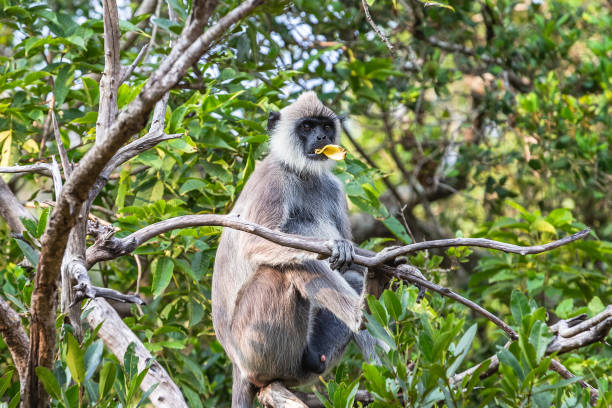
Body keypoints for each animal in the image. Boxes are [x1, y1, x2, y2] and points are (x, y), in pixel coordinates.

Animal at [213, 91, 380, 406]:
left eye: (325, 127)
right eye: (307, 126)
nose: (320, 137)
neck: (301, 173)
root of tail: (237, 366)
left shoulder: (333, 188)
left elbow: (354, 254)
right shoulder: (273, 180)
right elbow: (256, 244)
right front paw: (334, 247)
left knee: (350, 277)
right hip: (256, 347)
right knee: (286, 267)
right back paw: (360, 317)